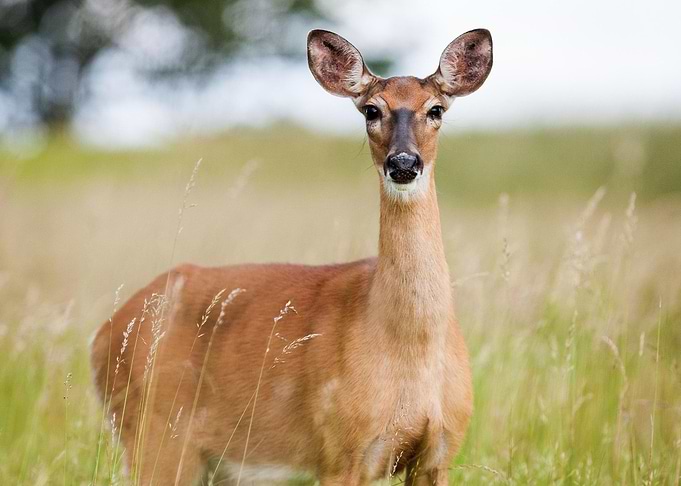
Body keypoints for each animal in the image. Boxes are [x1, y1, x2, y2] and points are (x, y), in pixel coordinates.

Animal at [91, 28, 493, 486]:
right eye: (371, 110)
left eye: (436, 109)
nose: (404, 162)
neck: (410, 347)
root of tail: (102, 336)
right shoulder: (340, 451)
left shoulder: (439, 452)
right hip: (156, 437)